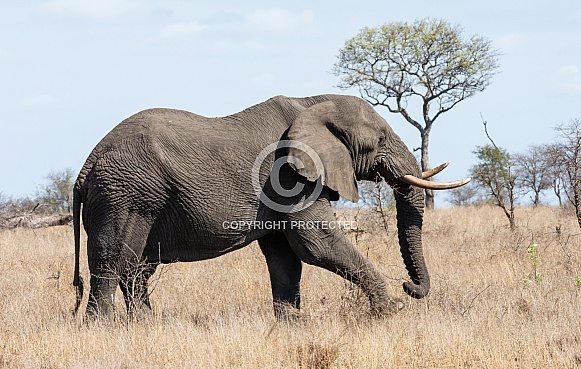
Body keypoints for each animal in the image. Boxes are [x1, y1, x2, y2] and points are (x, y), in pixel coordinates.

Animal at [72, 93, 468, 318]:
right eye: (382, 138)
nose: (409, 287)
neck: (312, 103)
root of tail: (85, 168)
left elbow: (286, 256)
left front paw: (290, 324)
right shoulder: (289, 176)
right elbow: (316, 244)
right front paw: (392, 310)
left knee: (137, 269)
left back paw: (145, 325)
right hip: (125, 196)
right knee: (114, 264)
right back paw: (103, 329)